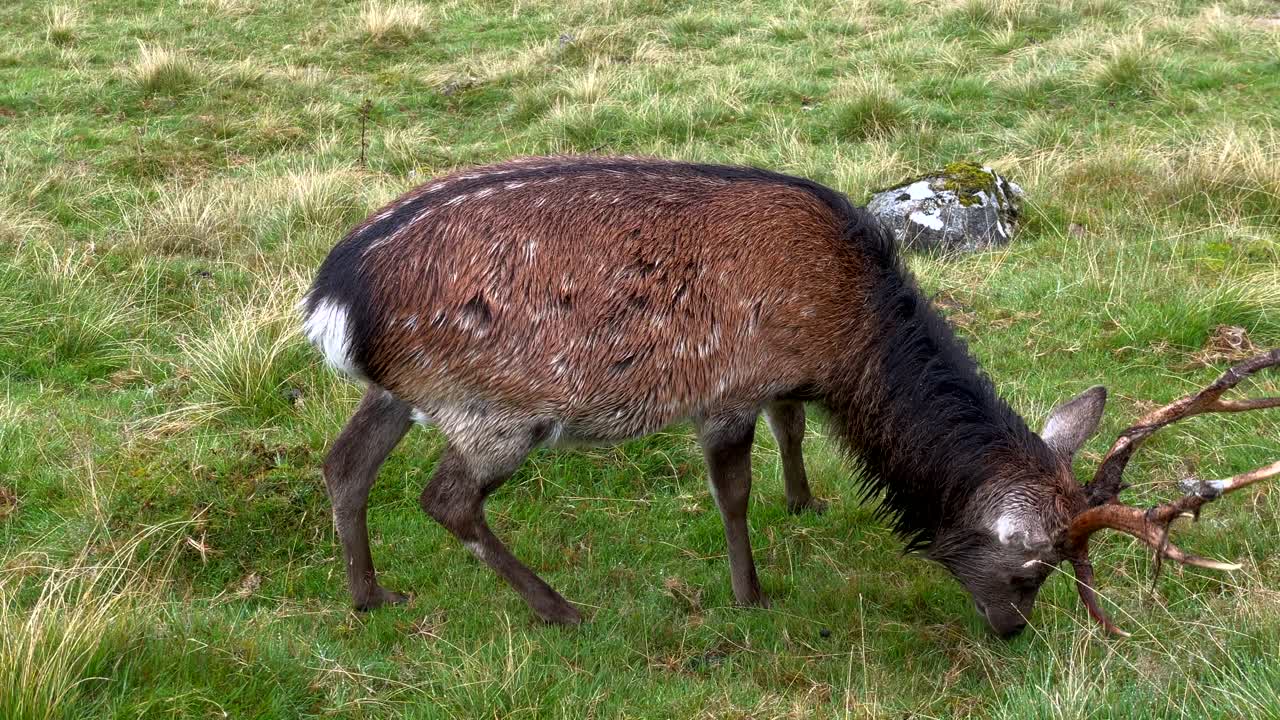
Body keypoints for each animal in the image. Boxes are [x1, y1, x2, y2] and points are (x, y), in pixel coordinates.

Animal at [301, 156, 1279, 636]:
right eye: (1030, 570)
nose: (1011, 631)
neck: (846, 342)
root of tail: (331, 300)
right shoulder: (729, 382)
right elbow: (732, 491)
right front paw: (751, 594)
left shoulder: (781, 381)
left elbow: (792, 428)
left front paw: (804, 501)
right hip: (498, 409)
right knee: (446, 498)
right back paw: (561, 609)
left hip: (408, 391)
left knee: (345, 463)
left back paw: (369, 598)